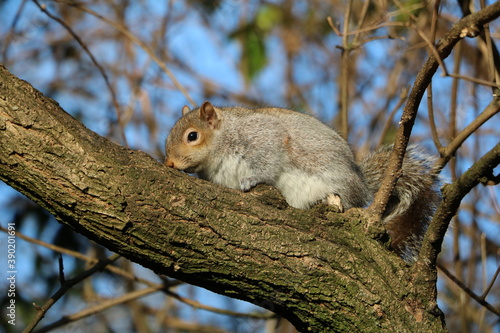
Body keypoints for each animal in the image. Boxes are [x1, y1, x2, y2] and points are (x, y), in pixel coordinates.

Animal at [165, 102, 442, 262]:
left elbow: (268, 164)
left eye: (192, 136)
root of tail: (362, 185)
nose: (169, 164)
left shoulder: (265, 138)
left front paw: (250, 180)